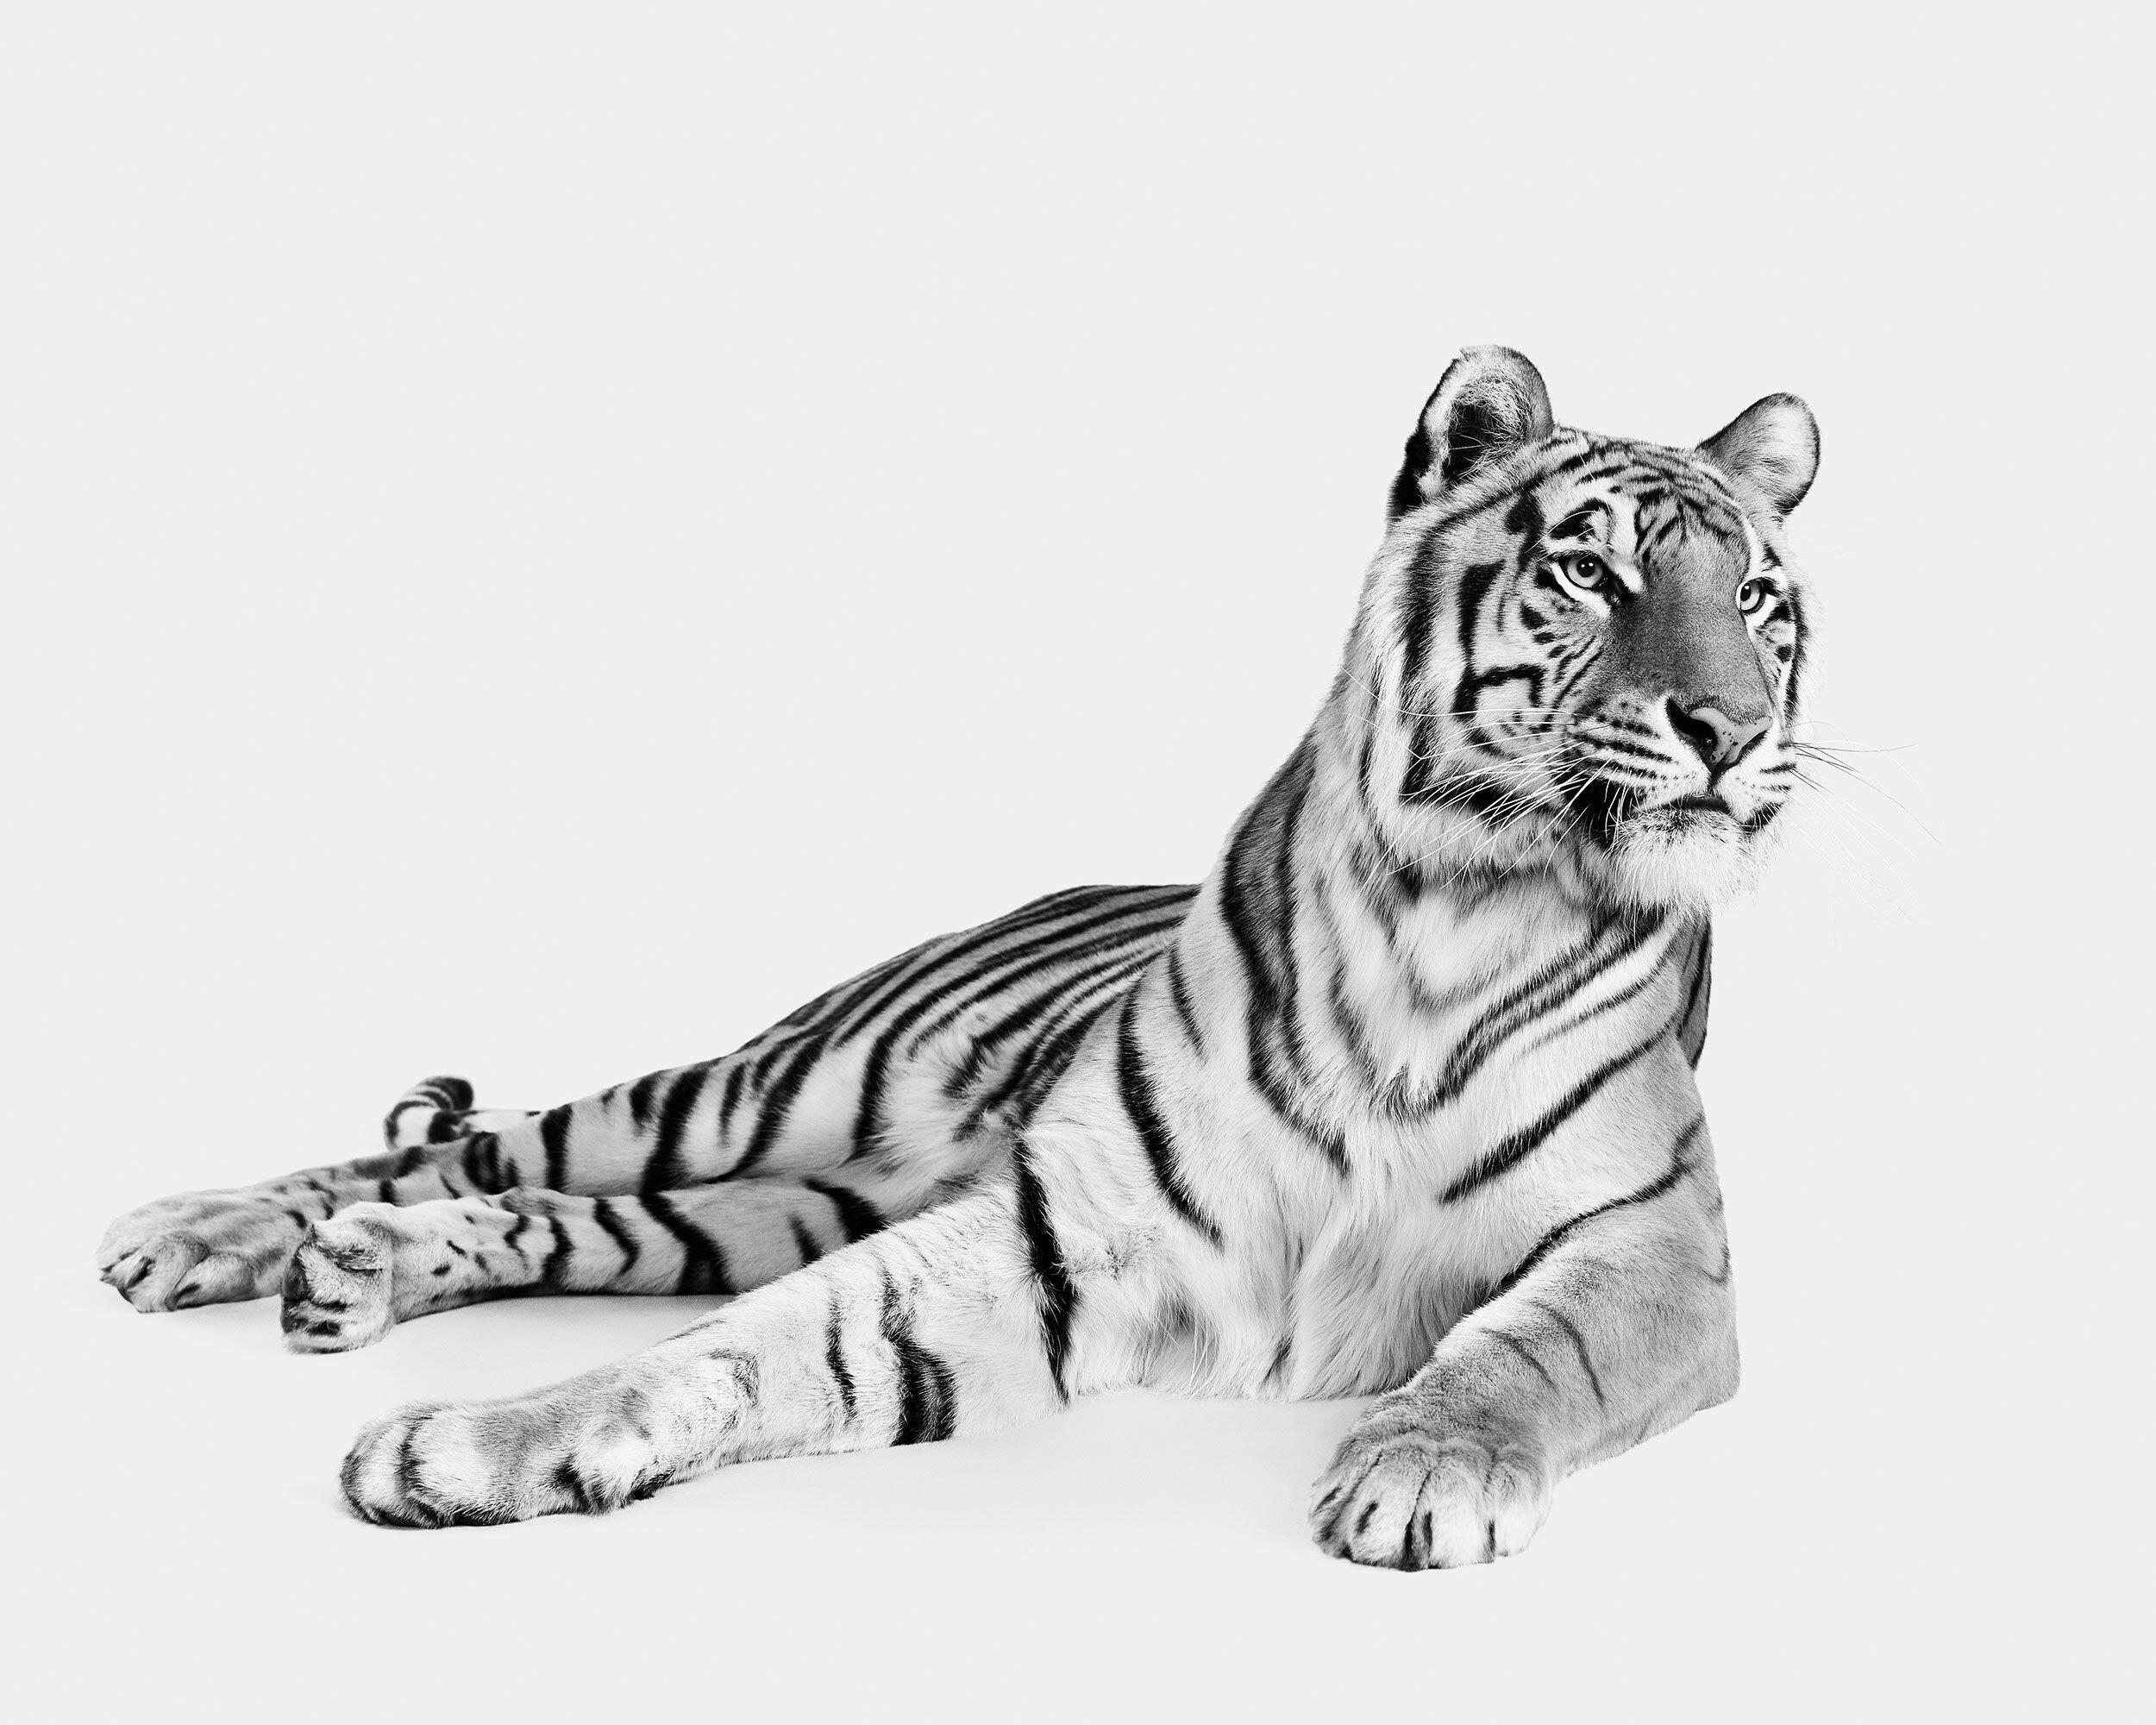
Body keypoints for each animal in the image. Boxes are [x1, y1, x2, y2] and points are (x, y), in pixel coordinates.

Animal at [96, 347, 1820, 1568]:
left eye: (1754, 599)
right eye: (1591, 570)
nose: (1731, 734)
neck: (1455, 908)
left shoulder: (1656, 1248)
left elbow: (1520, 1353)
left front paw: (1420, 1470)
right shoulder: (1058, 1236)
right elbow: (740, 1352)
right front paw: (472, 1444)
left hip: (770, 1195)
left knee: (550, 1215)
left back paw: (356, 1278)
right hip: (749, 1093)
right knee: (456, 1149)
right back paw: (199, 1237)